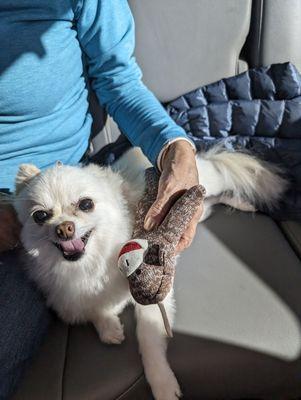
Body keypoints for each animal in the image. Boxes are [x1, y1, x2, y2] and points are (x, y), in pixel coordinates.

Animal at [13, 147, 286, 400]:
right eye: (40, 216)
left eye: (86, 204)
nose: (64, 228)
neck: (89, 264)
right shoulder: (70, 301)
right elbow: (95, 310)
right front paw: (110, 328)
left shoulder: (150, 297)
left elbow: (149, 339)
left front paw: (163, 384)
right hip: (201, 213)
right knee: (211, 204)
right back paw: (238, 203)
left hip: (207, 180)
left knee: (221, 177)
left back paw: (244, 195)